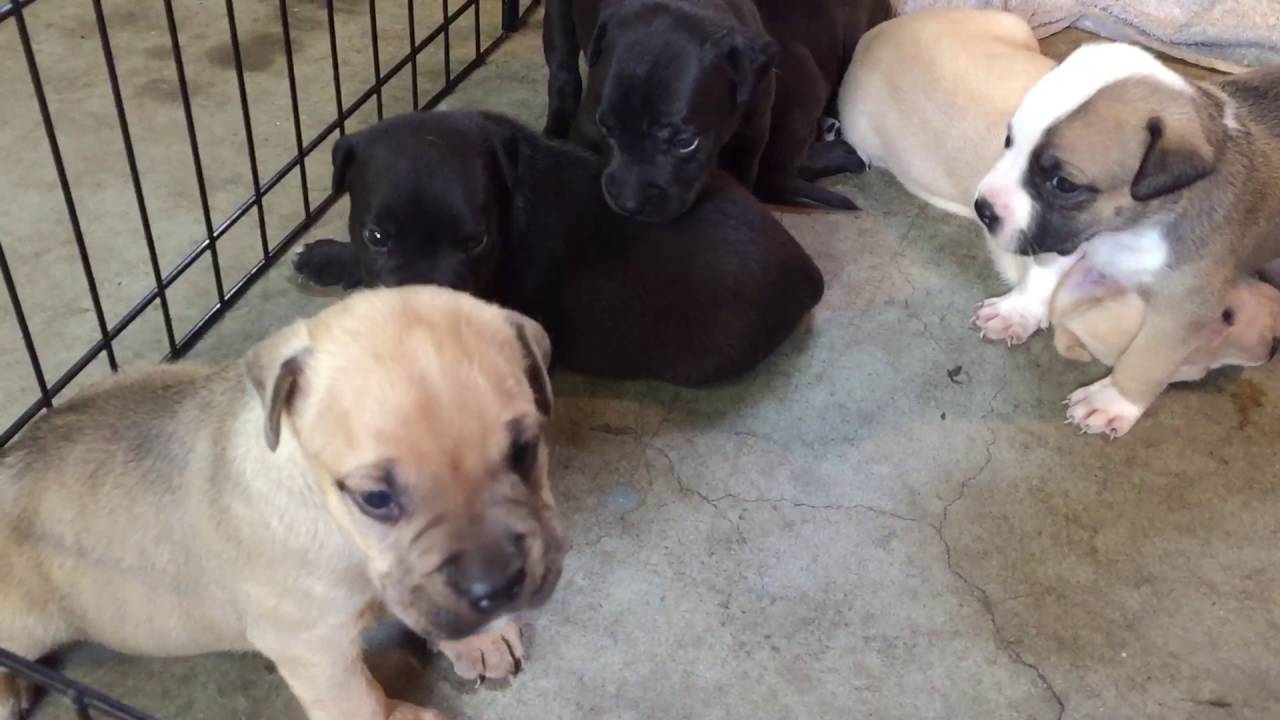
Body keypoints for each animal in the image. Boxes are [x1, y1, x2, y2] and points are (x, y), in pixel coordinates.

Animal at [0, 285, 565, 717]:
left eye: (523, 451)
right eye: (376, 498)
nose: (497, 587)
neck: (339, 528)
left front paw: (480, 640)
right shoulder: (312, 644)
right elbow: (356, 701)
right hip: (26, 624)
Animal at [967, 43, 1280, 438]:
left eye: (1063, 184)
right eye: (1009, 141)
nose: (983, 209)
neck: (1129, 231)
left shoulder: (1185, 306)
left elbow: (1147, 357)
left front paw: (1113, 400)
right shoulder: (1071, 233)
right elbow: (1043, 273)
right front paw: (1018, 310)